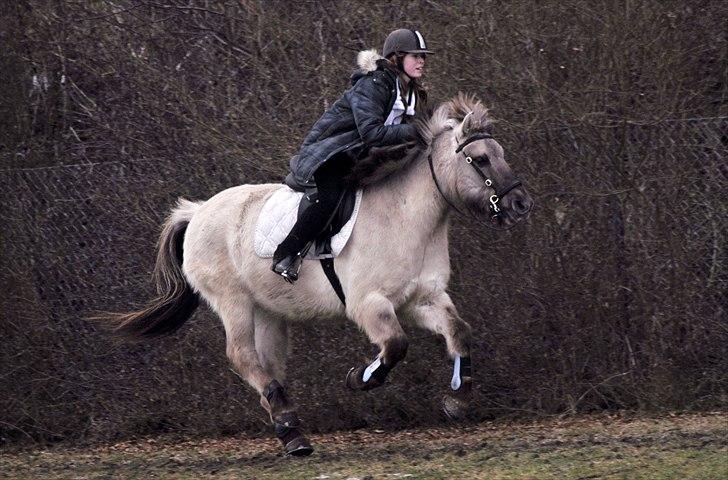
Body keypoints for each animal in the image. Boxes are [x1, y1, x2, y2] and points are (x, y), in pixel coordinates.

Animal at [98, 94, 536, 458]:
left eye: (500, 153)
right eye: (480, 158)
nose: (520, 203)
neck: (406, 217)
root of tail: (198, 211)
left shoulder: (422, 299)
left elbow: (458, 332)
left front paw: (457, 401)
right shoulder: (369, 304)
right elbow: (395, 346)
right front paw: (360, 378)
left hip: (268, 311)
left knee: (268, 364)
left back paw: (290, 428)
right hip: (232, 302)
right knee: (242, 355)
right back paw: (291, 430)